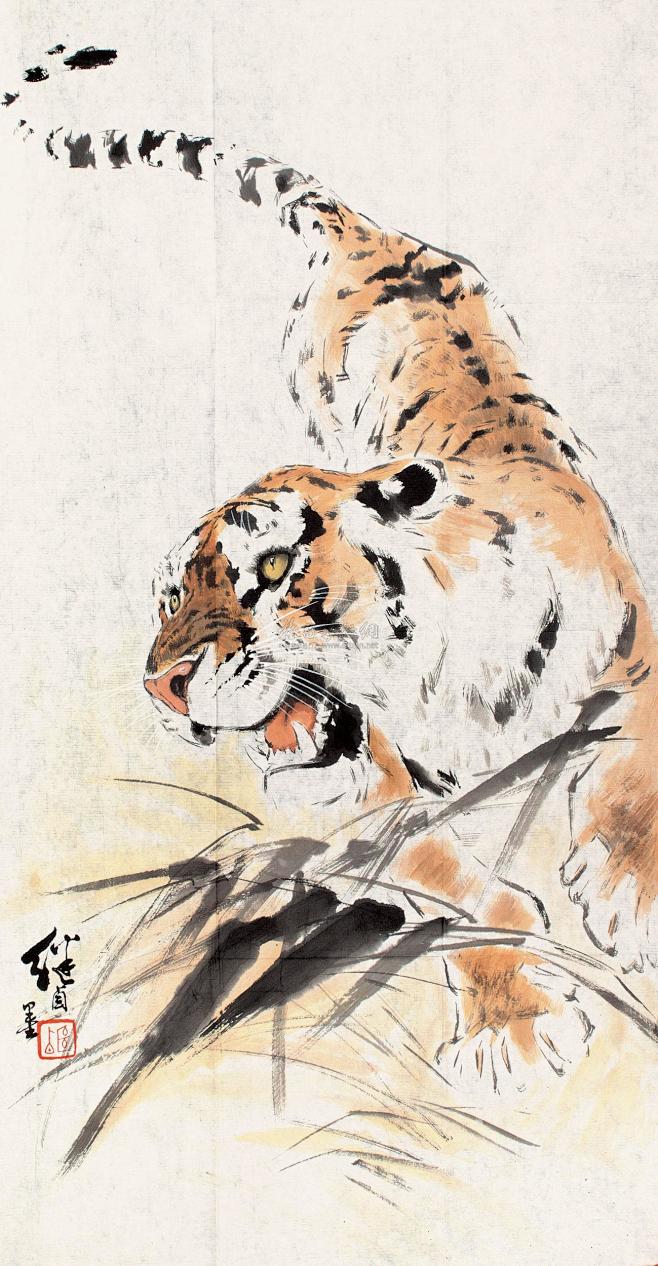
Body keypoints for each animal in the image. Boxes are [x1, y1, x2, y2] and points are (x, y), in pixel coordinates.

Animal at [7, 41, 658, 1091]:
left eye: (271, 565)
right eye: (167, 600)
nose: (161, 686)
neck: (439, 682)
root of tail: (360, 231)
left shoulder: (634, 642)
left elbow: (633, 757)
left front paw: (629, 895)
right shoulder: (354, 800)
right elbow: (443, 878)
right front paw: (511, 1026)